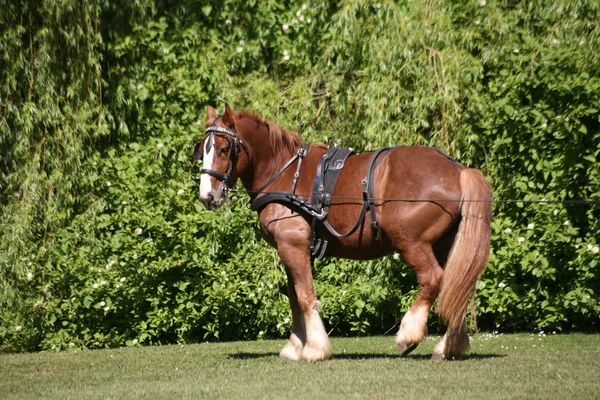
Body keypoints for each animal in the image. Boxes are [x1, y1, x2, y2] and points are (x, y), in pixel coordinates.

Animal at [195, 104, 490, 360]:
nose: (207, 196)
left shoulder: (293, 245)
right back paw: (447, 347)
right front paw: (295, 346)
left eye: (224, 149)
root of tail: (458, 169)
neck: (285, 171)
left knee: (433, 279)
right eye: (203, 149)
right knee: (457, 286)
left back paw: (408, 335)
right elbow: (294, 297)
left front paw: (314, 349)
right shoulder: (292, 249)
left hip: (411, 242)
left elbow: (305, 296)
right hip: (445, 244)